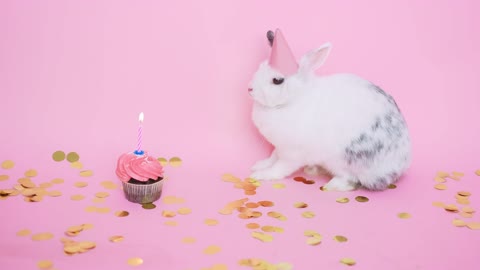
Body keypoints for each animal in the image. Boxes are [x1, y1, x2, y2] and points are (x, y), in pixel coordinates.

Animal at [249, 28, 410, 191]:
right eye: (260, 67)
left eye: (277, 80)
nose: (250, 89)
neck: (294, 99)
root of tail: (401, 164)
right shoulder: (279, 147)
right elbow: (273, 156)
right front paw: (259, 165)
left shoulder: (292, 153)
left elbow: (280, 167)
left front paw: (261, 174)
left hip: (343, 161)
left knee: (350, 179)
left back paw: (331, 185)